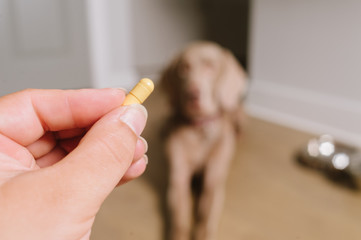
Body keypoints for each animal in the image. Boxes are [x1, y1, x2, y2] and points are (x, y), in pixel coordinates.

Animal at [160, 41, 248, 240]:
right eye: (183, 68)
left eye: (211, 66)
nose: (192, 94)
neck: (199, 128)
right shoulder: (178, 181)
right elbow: (180, 221)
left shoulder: (213, 183)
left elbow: (205, 221)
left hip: (237, 111)